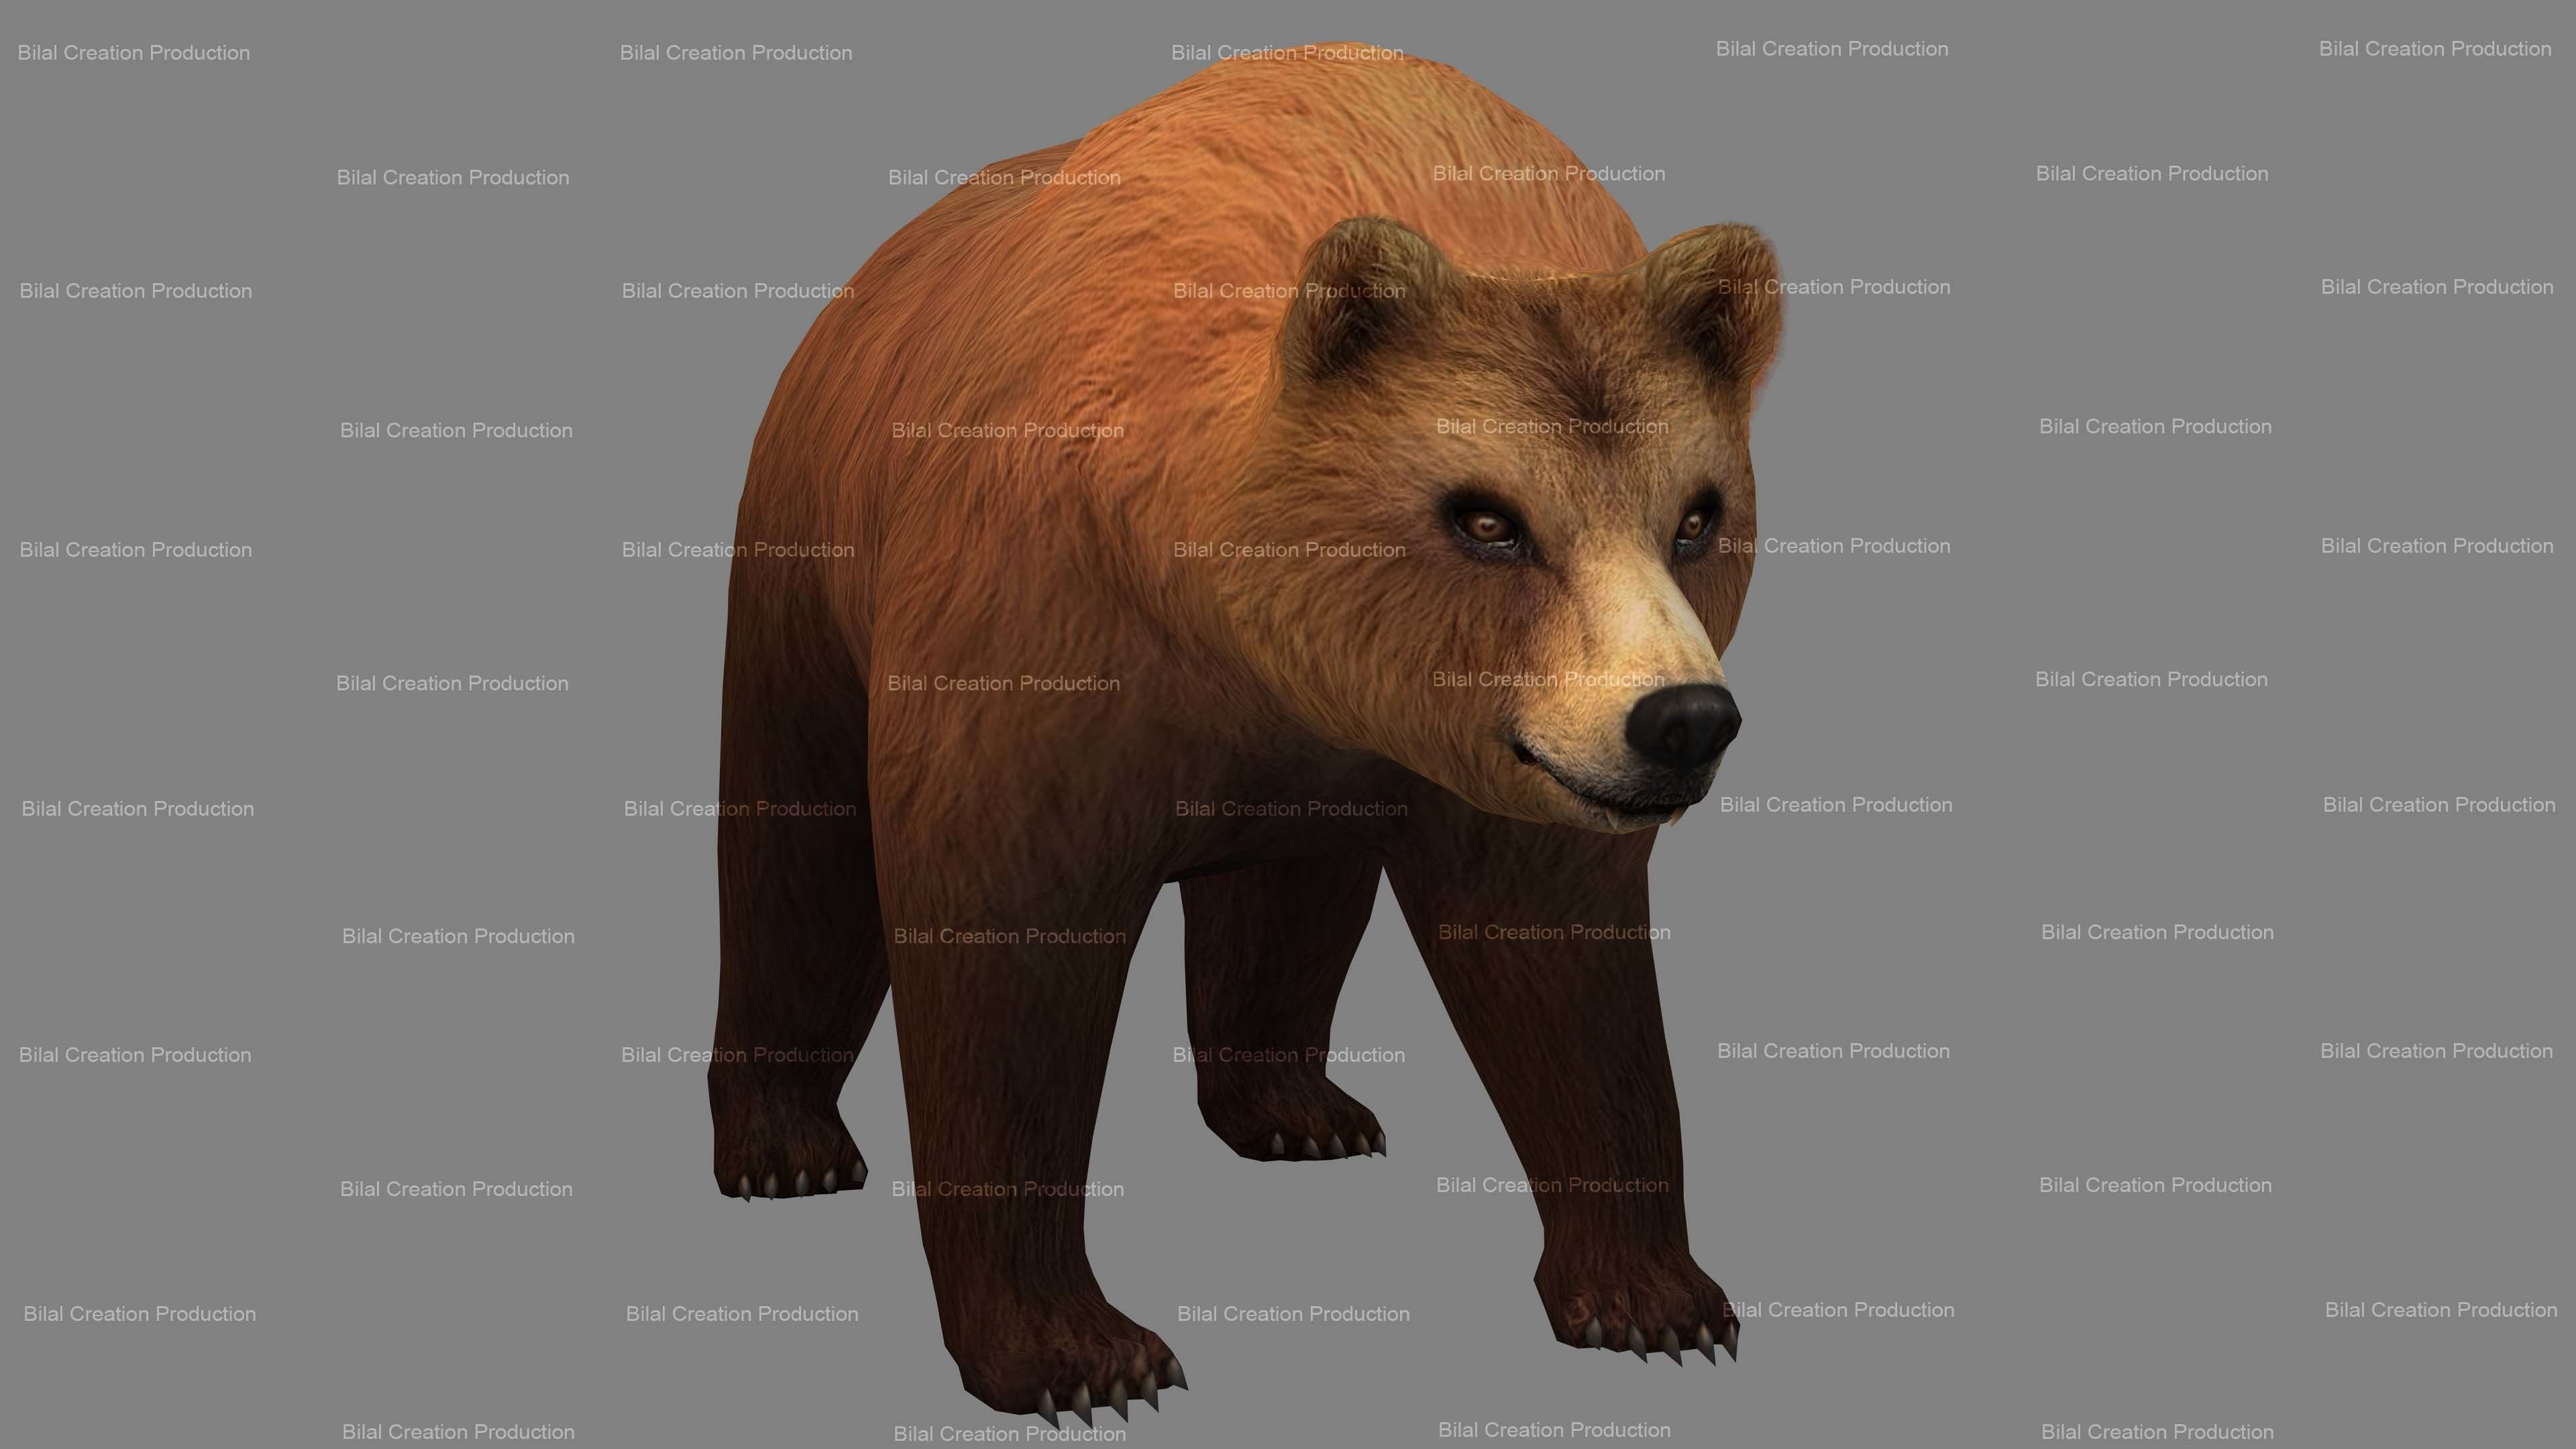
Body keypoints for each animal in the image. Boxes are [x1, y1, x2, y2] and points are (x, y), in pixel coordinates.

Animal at [709, 43, 1781, 1424]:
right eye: (1487, 517)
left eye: (1698, 514)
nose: (1684, 720)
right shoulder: (1038, 633)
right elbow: (1003, 953)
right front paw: (1080, 1352)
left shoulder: (1473, 759)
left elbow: (1566, 971)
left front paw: (1655, 1298)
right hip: (808, 564)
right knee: (793, 851)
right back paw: (782, 1142)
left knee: (1290, 894)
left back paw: (1294, 1106)